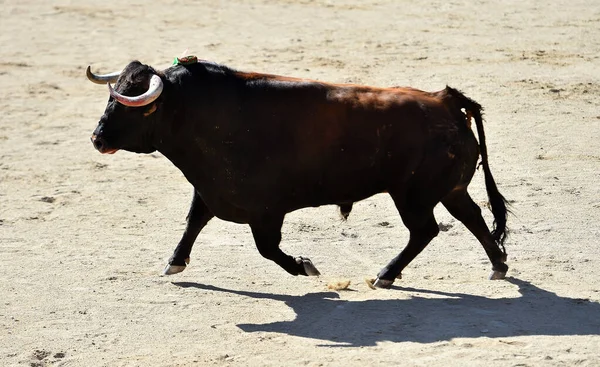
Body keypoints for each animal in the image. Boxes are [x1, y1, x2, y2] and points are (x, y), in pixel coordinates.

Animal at [86, 57, 508, 288]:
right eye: (111, 97)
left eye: (139, 107)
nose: (97, 138)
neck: (203, 113)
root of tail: (445, 101)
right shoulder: (210, 190)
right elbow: (193, 222)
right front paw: (174, 262)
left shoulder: (265, 212)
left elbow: (267, 248)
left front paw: (304, 266)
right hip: (450, 190)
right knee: (472, 217)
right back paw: (498, 266)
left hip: (413, 196)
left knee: (425, 230)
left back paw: (386, 273)